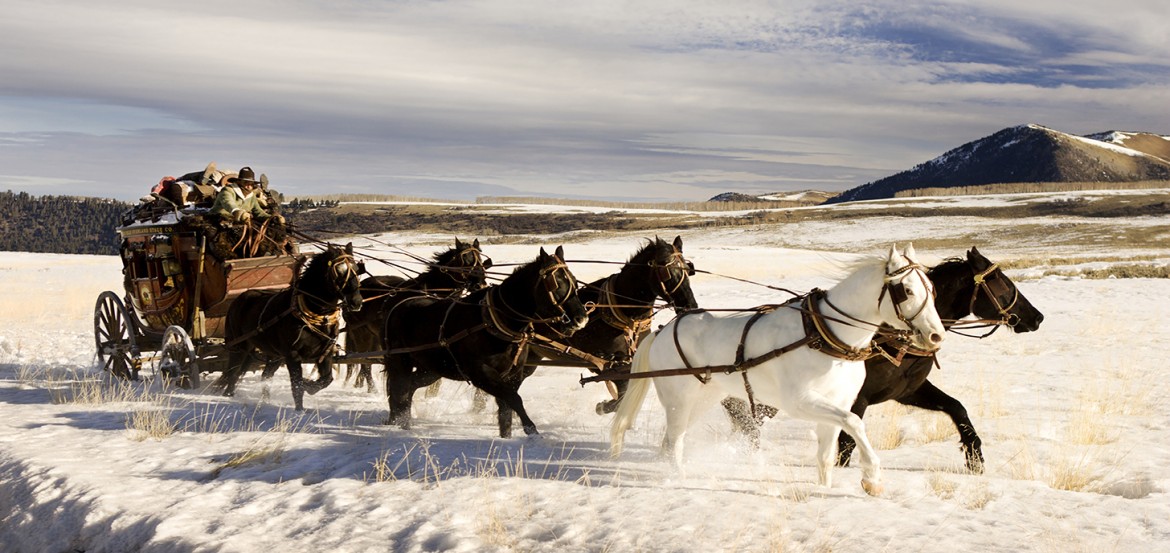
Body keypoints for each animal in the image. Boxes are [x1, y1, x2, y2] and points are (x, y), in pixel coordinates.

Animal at [215, 240, 360, 409]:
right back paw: (228, 396)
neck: (318, 316)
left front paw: (309, 385)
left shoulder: (325, 353)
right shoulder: (292, 355)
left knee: (264, 375)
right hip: (240, 347)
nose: (356, 301)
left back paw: (265, 401)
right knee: (233, 373)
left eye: (357, 270)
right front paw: (300, 409)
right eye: (339, 271)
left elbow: (326, 380)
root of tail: (238, 300)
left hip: (275, 355)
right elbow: (296, 385)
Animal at [341, 239, 491, 390]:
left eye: (480, 260)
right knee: (364, 363)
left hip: (374, 337)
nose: (480, 285)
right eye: (464, 260)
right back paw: (372, 389)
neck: (431, 290)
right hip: (361, 333)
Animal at [533, 233, 697, 413]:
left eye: (688, 269)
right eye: (667, 273)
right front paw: (604, 406)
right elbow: (621, 393)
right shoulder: (604, 362)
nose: (690, 305)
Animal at [608, 243, 945, 493]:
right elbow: (855, 424)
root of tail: (663, 330)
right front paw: (872, 478)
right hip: (679, 400)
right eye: (906, 290)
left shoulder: (837, 402)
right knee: (675, 441)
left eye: (932, 288)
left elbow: (827, 454)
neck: (824, 336)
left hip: (702, 399)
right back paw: (678, 479)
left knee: (670, 440)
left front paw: (825, 490)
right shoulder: (802, 402)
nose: (935, 335)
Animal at [725, 247, 1048, 472]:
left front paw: (974, 458)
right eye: (1002, 283)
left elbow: (958, 409)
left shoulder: (908, 390)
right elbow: (846, 445)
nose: (1037, 317)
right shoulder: (857, 400)